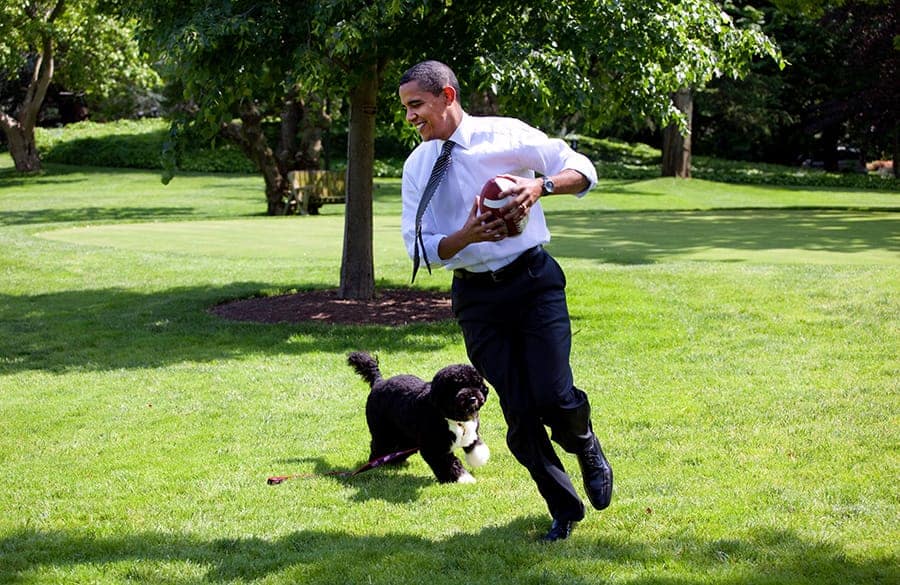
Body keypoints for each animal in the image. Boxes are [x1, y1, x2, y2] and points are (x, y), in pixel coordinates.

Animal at [346, 350, 488, 482]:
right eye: (456, 386)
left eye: (476, 385)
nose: (472, 398)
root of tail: (379, 382)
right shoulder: (434, 447)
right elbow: (450, 464)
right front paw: (463, 479)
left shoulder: (471, 431)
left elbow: (475, 445)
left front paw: (479, 458)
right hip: (383, 432)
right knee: (379, 446)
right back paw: (375, 463)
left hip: (406, 436)